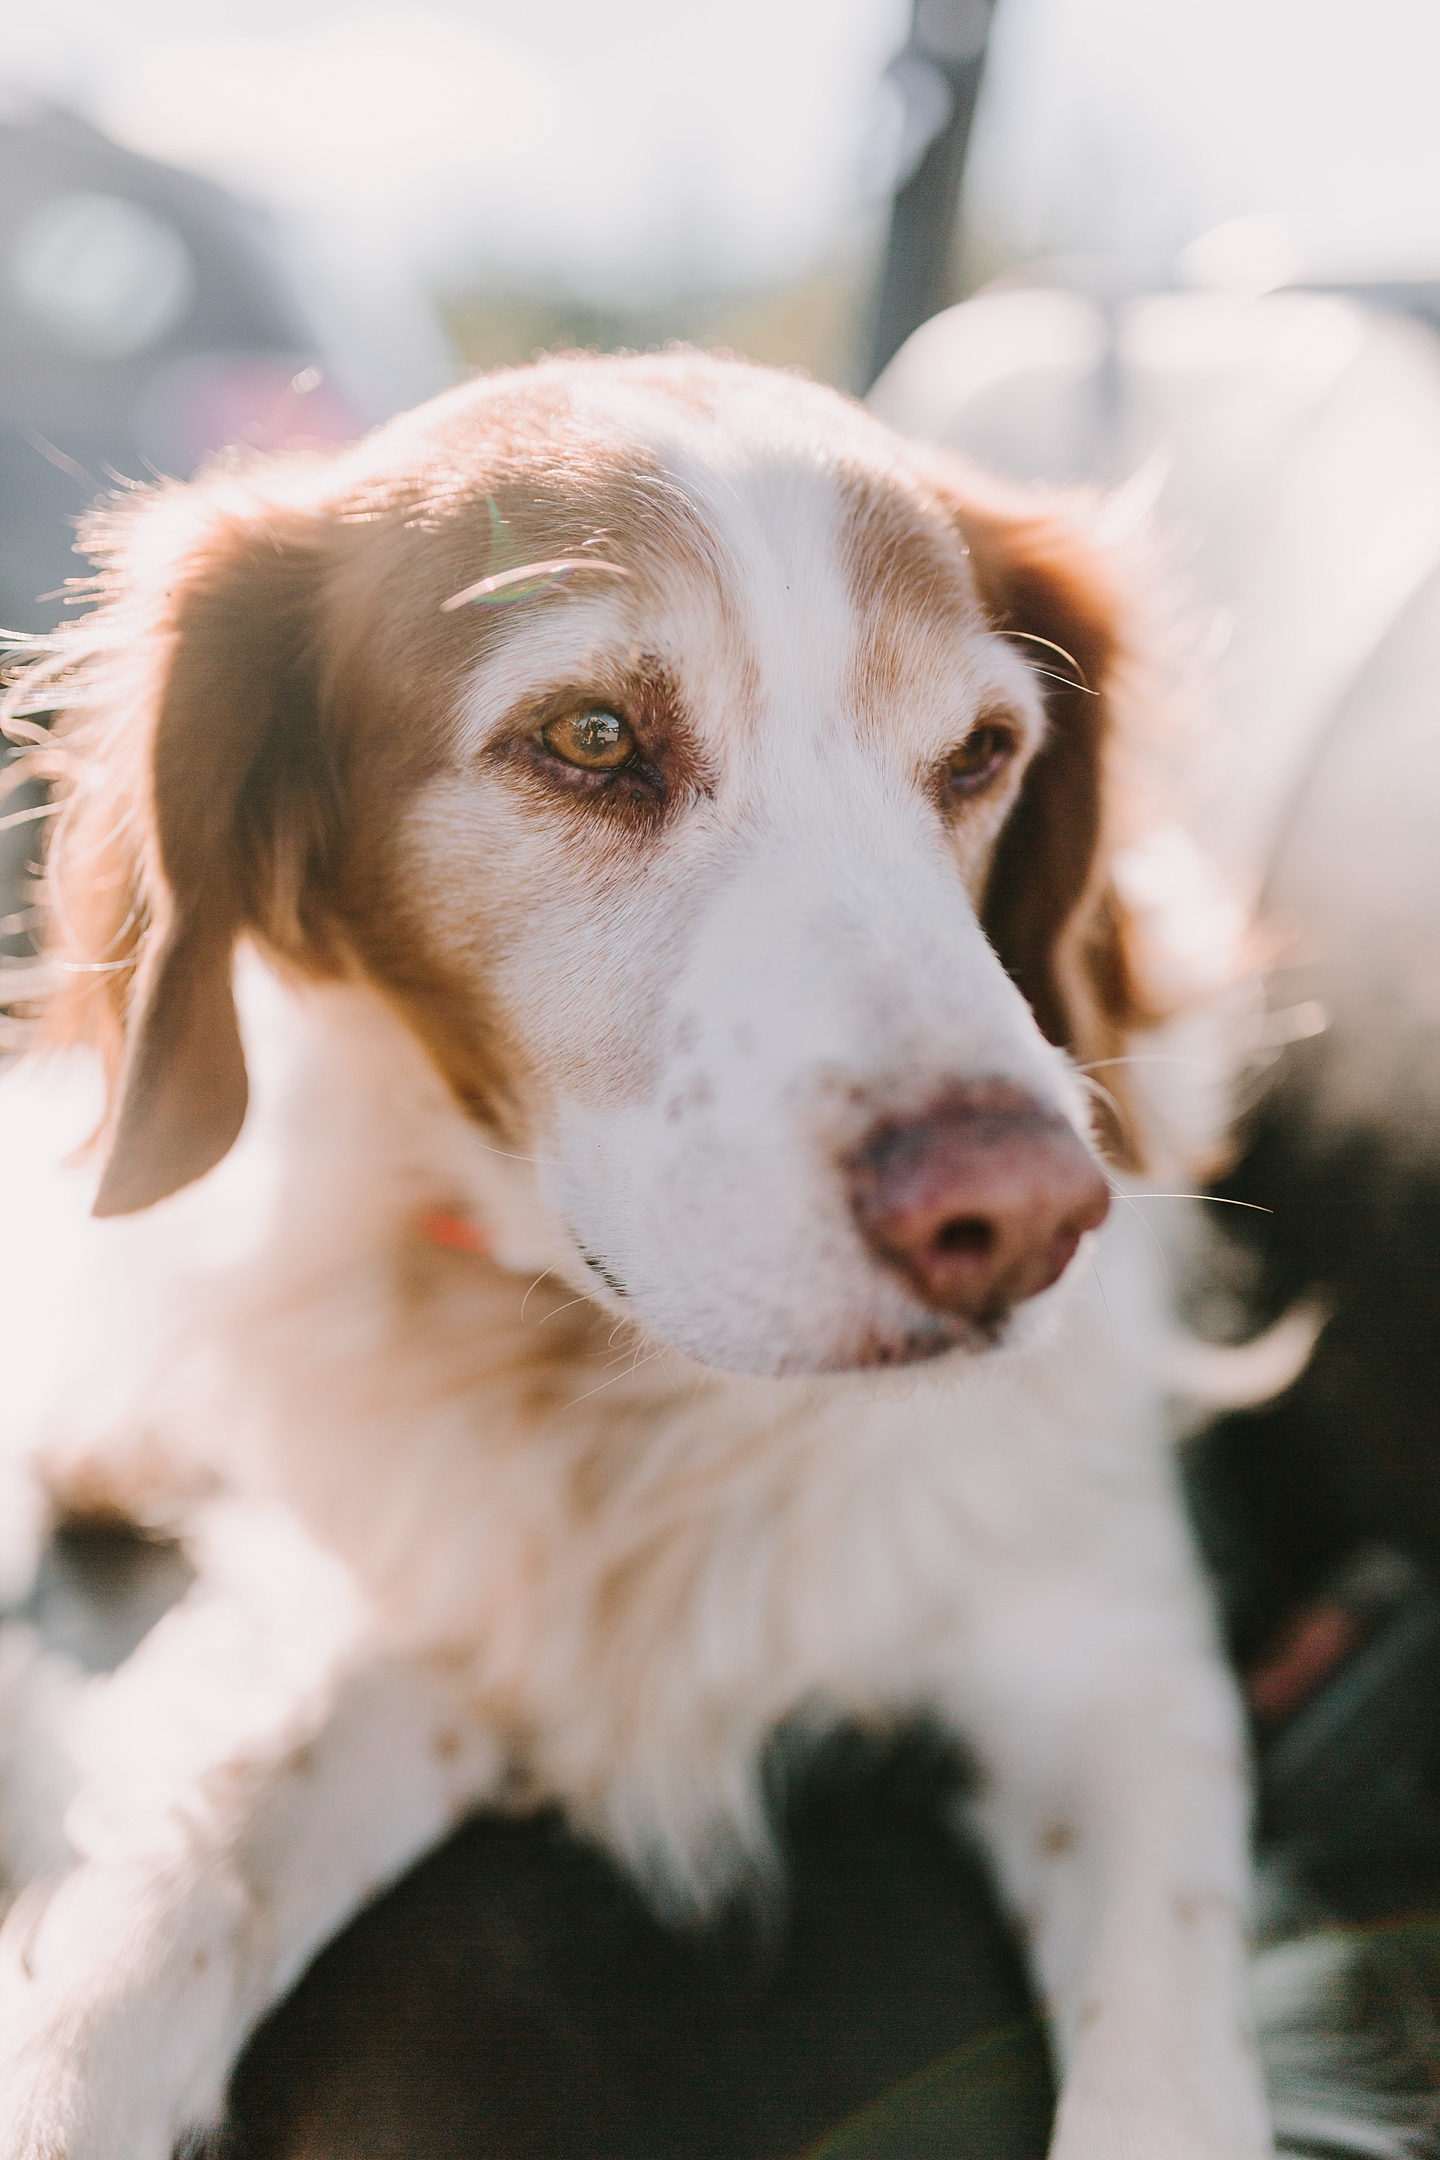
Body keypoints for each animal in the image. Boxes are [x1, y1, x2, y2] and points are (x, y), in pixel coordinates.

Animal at [0, 358, 1269, 2160]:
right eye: (591, 737)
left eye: (981, 753)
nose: (1023, 1219)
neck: (625, 1407)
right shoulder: (418, 1609)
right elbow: (159, 1904)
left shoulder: (1114, 1666)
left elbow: (1168, 2071)